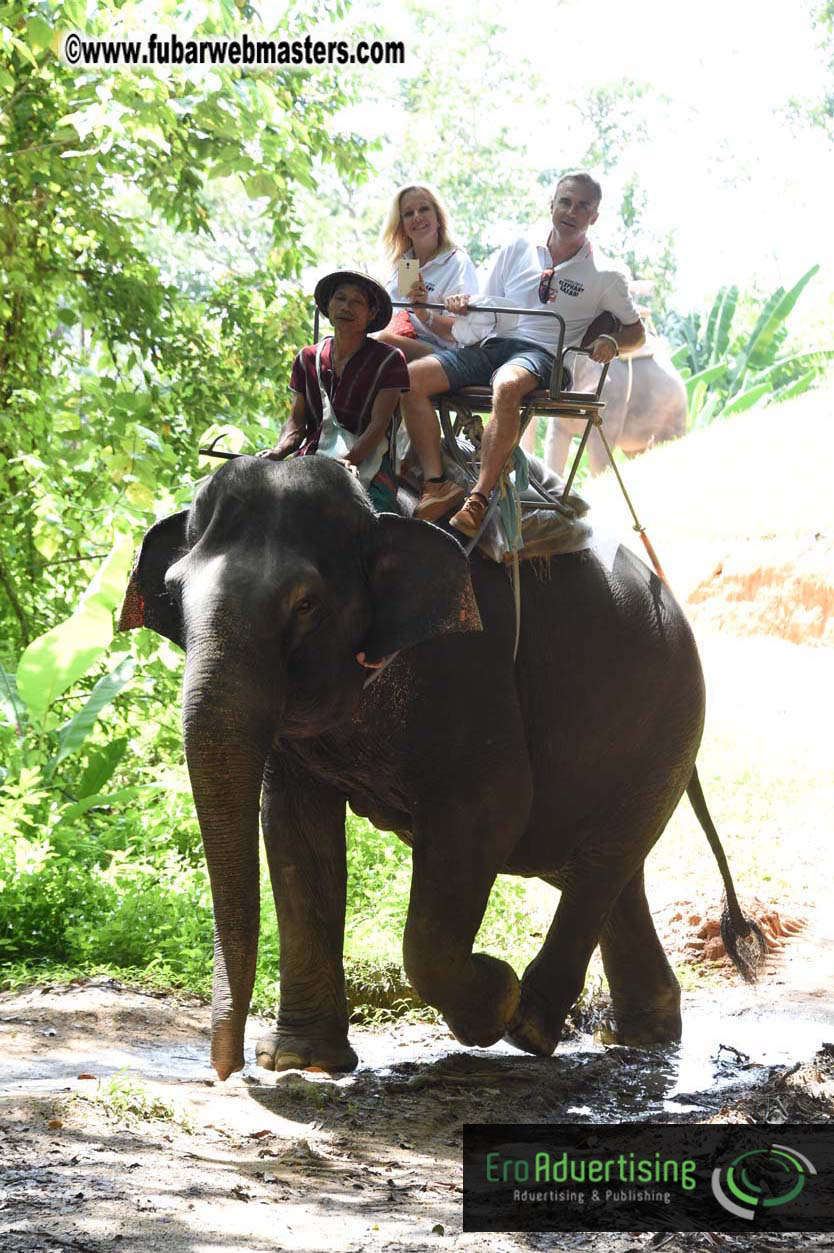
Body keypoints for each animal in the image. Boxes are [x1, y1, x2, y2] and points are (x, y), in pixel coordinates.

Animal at [118, 453, 763, 1081]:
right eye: (173, 596)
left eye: (305, 604)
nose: (225, 1073)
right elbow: (294, 832)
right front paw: (301, 1062)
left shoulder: (467, 666)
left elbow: (490, 810)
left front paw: (493, 1000)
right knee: (610, 872)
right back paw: (639, 1034)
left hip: (666, 726)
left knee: (601, 865)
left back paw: (529, 1025)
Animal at [521, 340, 688, 477]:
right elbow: (555, 440)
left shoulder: (614, 397)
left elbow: (598, 450)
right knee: (634, 451)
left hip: (673, 410)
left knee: (668, 439)